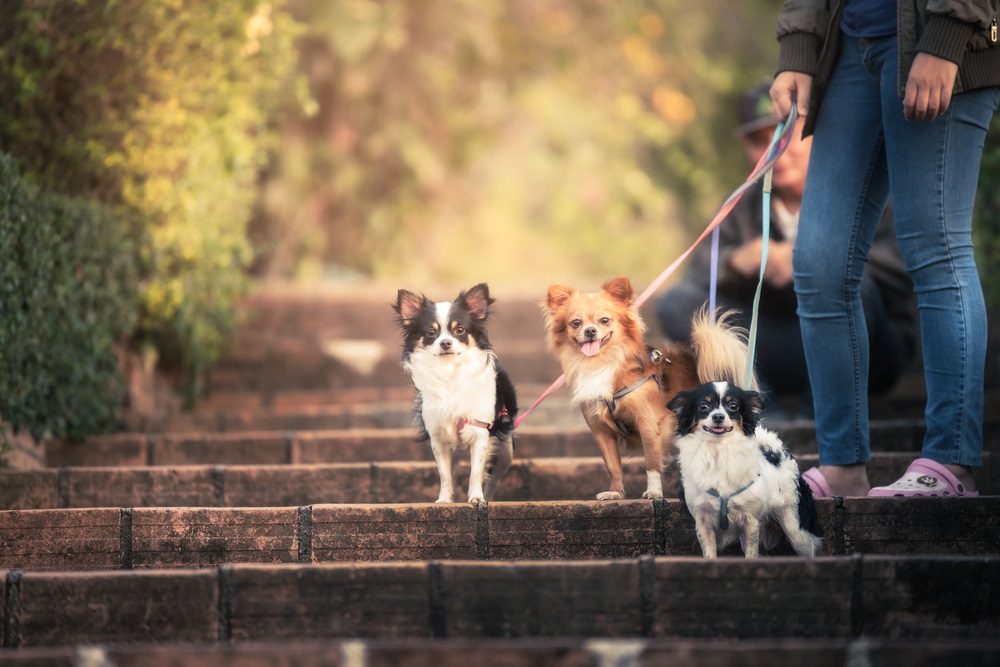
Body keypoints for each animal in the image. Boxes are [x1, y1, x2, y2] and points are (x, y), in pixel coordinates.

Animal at [392, 284, 516, 506]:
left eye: (460, 330)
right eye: (431, 332)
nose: (445, 343)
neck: (449, 372)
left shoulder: (480, 433)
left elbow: (475, 472)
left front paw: (476, 498)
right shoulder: (438, 439)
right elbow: (445, 474)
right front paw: (444, 500)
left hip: (506, 449)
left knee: (494, 476)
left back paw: (487, 496)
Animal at [672, 380, 820, 560]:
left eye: (733, 406)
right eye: (703, 406)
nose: (718, 416)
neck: (719, 450)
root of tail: (777, 451)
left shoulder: (751, 521)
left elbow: (751, 554)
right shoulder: (703, 521)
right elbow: (709, 553)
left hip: (795, 528)